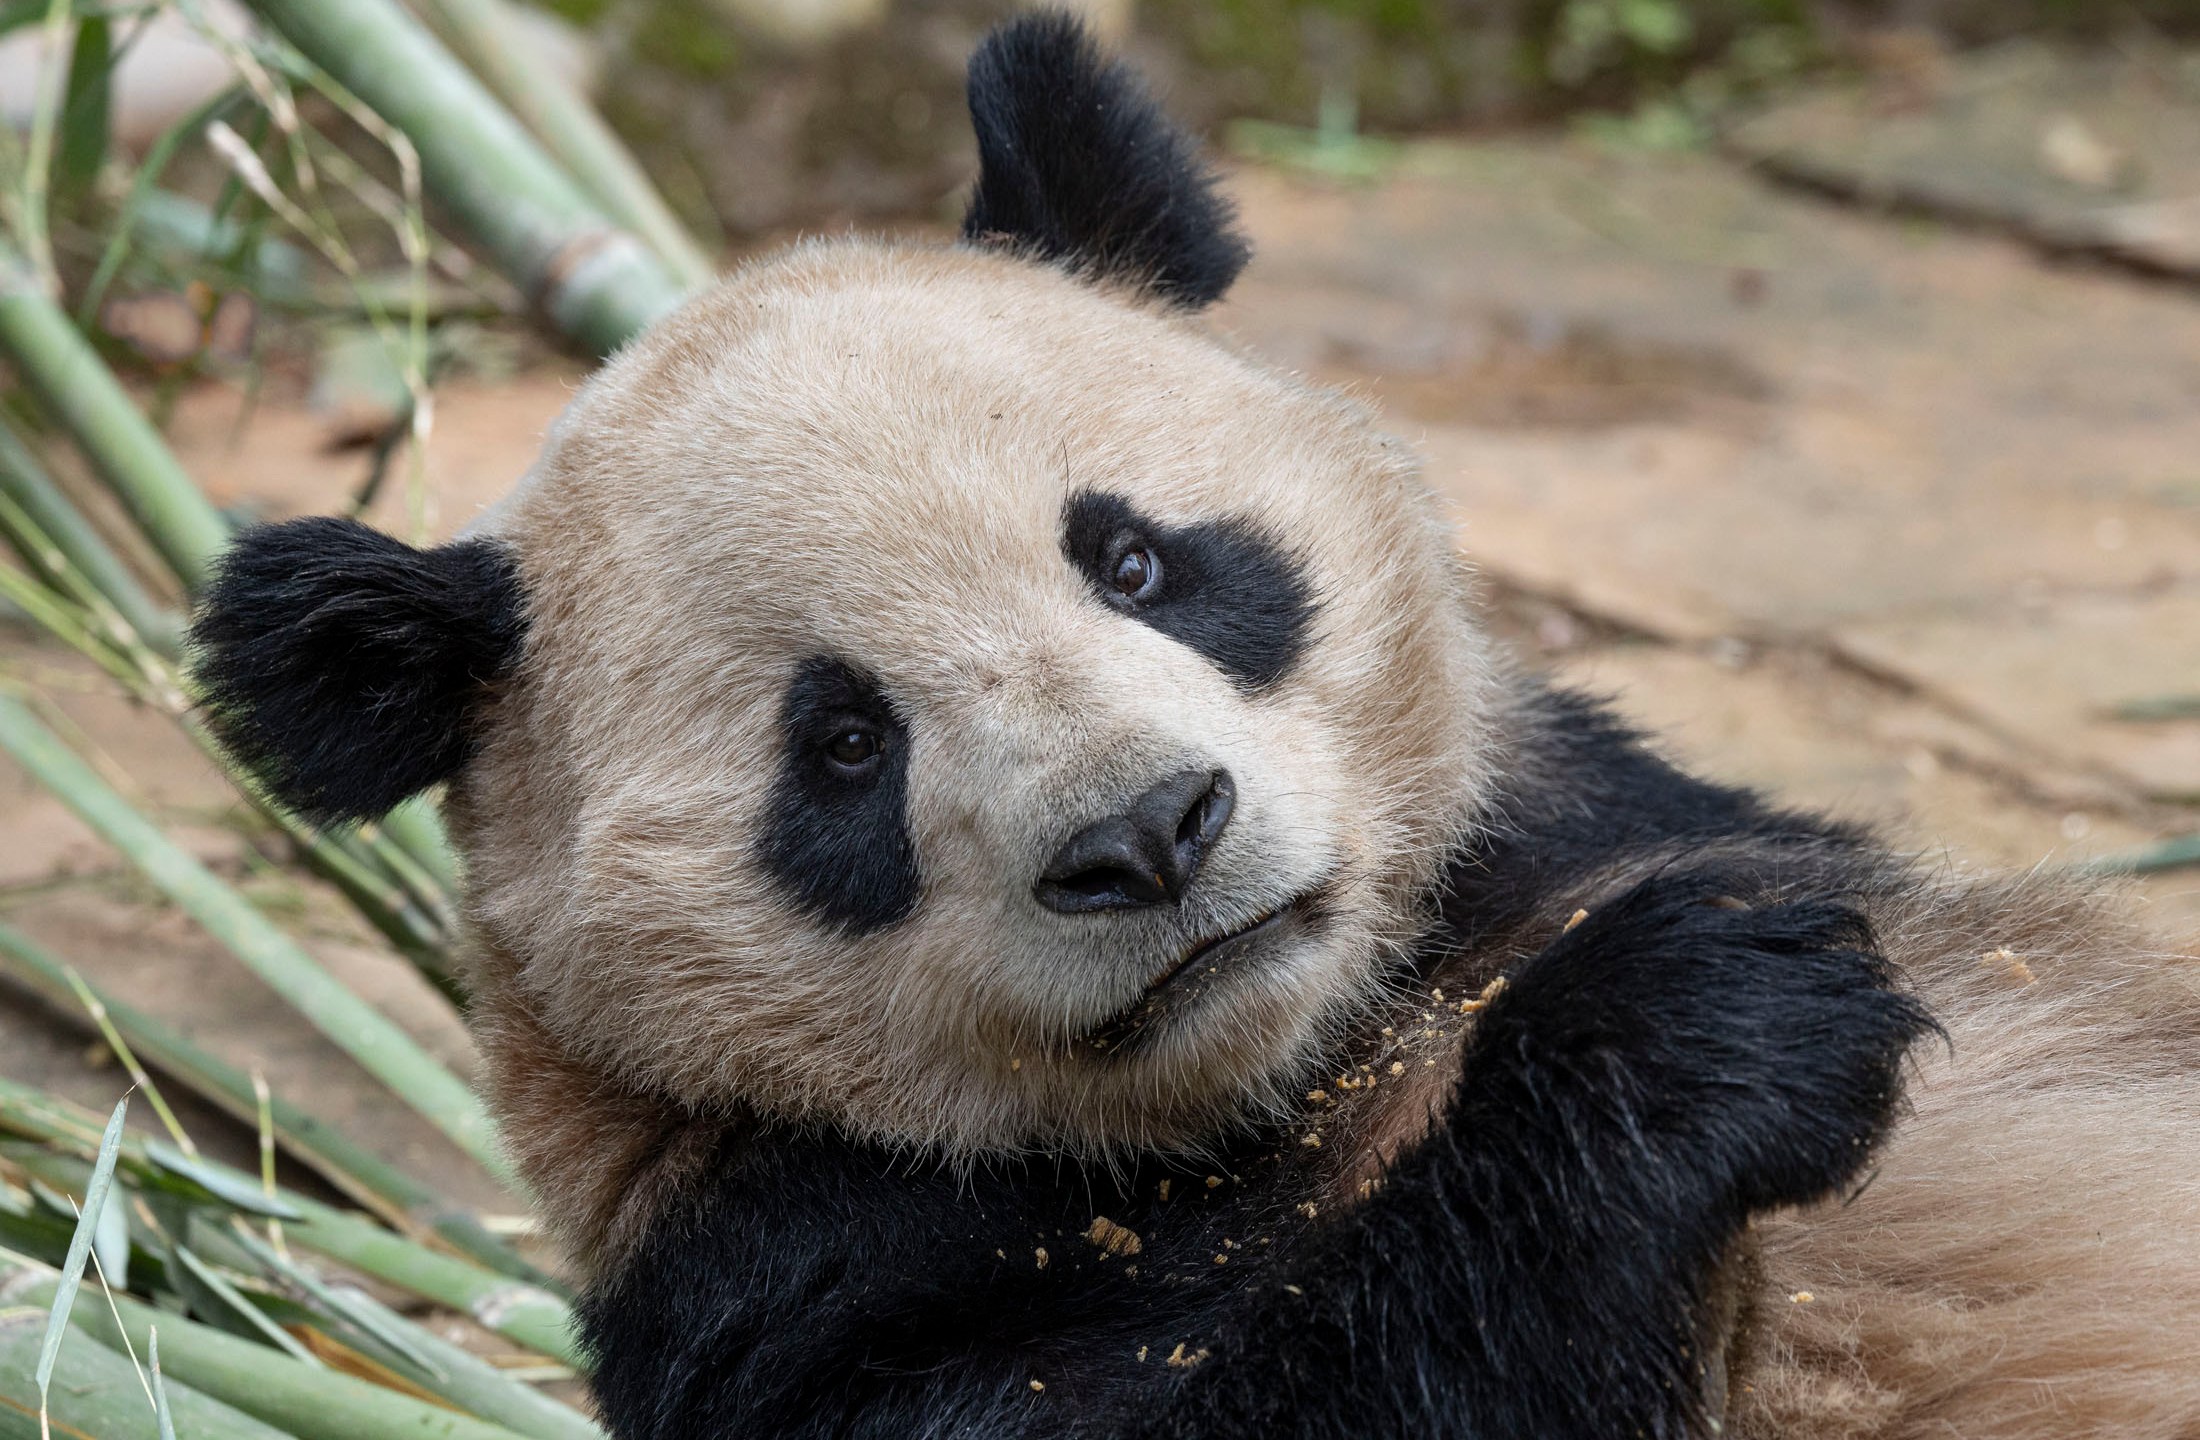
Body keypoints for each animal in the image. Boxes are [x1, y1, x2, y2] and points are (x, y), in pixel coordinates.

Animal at [189, 14, 2200, 1440]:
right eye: (842, 748)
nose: (1149, 837)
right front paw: (1693, 1024)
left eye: (1138, 559)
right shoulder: (789, 1283)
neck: (1297, 1071)